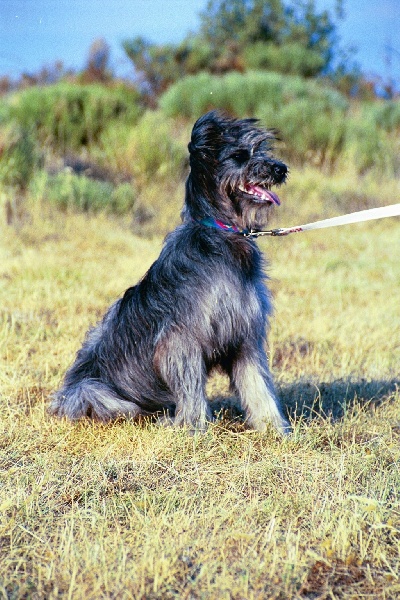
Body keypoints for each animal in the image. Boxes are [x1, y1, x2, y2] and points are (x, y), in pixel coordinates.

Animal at [51, 110, 292, 434]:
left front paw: (274, 428)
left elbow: (258, 386)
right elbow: (191, 388)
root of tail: (63, 397)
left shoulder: (244, 337)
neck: (220, 232)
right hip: (92, 390)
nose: (280, 169)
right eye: (240, 156)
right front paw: (194, 427)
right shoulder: (180, 340)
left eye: (262, 150)